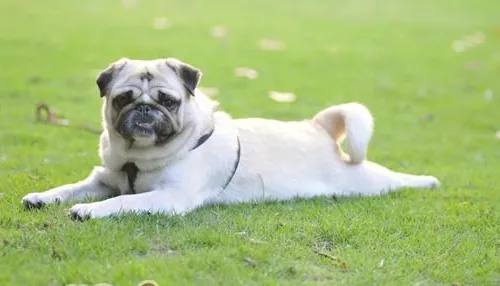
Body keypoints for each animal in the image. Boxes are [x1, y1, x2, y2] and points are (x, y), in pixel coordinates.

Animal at [22, 57, 438, 219]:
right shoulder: (104, 179)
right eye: (124, 98)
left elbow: (123, 202)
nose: (144, 110)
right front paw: (43, 197)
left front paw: (89, 210)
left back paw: (427, 181)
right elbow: (69, 188)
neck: (138, 159)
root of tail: (318, 126)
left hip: (365, 180)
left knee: (396, 180)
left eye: (167, 101)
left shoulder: (171, 197)